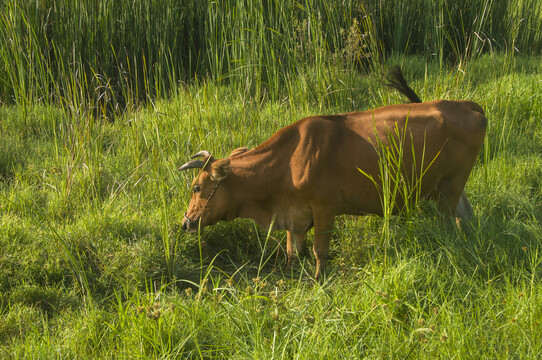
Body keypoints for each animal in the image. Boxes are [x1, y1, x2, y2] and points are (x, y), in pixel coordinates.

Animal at [180, 69, 488, 280]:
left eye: (196, 188)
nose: (186, 223)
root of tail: (463, 103)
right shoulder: (295, 213)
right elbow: (292, 251)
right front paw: (291, 278)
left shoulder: (325, 207)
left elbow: (320, 250)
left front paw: (319, 281)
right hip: (450, 189)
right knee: (466, 217)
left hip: (449, 188)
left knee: (451, 223)